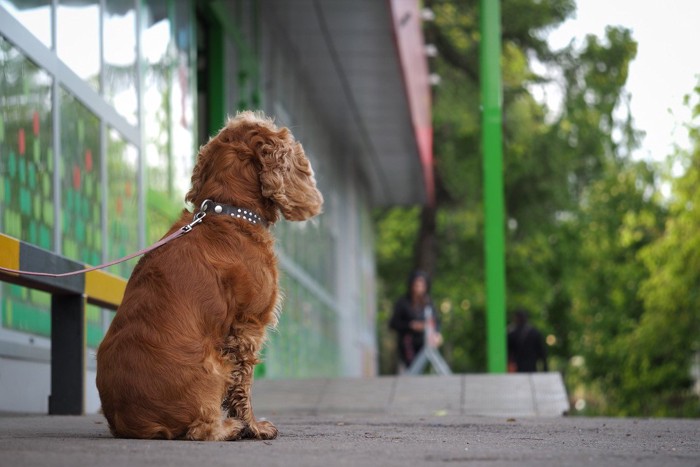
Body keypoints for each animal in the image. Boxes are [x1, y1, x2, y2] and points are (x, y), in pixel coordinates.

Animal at [95, 111, 322, 440]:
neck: (229, 210)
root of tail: (132, 422)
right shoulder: (248, 326)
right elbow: (244, 383)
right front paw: (254, 426)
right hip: (215, 365)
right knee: (200, 429)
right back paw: (229, 427)